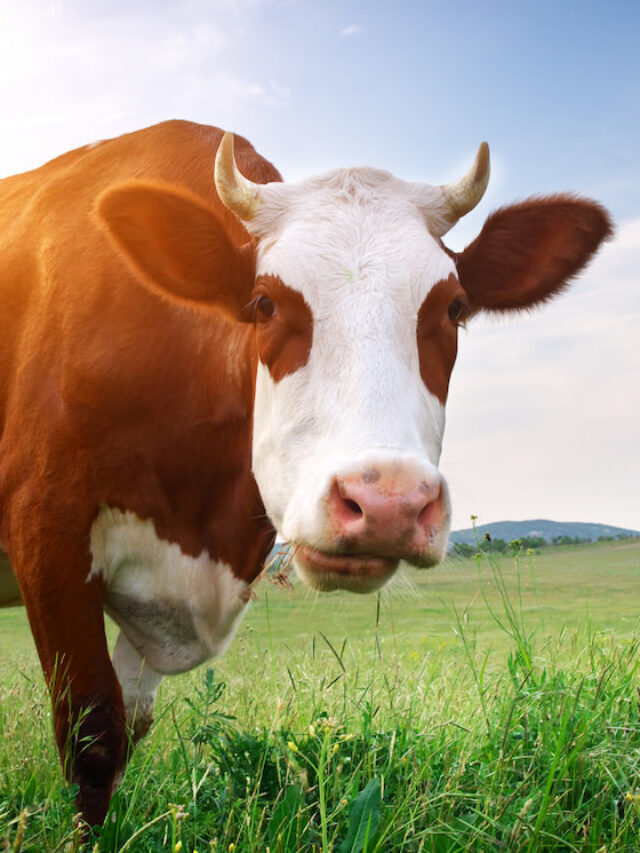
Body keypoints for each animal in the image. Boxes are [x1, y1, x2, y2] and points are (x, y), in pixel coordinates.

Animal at [0, 120, 611, 825]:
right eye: (264, 303)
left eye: (455, 307)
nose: (389, 503)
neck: (202, 526)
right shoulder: (47, 529)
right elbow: (93, 736)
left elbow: (126, 729)